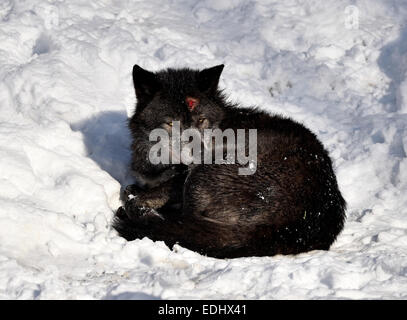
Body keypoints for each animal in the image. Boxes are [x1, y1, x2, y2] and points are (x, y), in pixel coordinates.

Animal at [112, 63, 348, 258]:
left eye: (201, 121)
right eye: (171, 124)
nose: (198, 152)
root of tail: (297, 222)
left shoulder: (182, 177)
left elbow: (140, 195)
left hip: (204, 173)